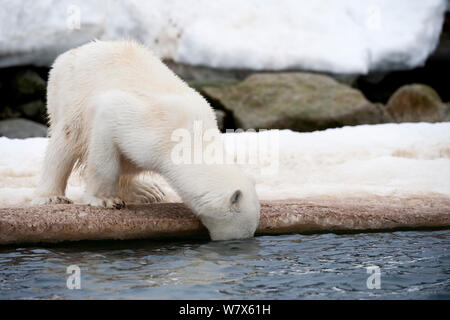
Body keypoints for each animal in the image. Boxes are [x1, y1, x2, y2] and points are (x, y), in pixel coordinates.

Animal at [33, 40, 260, 240]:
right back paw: (51, 196)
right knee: (65, 142)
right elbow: (106, 138)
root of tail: (68, 54)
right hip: (70, 96)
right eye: (242, 230)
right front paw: (105, 200)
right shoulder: (143, 127)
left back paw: (147, 191)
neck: (192, 137)